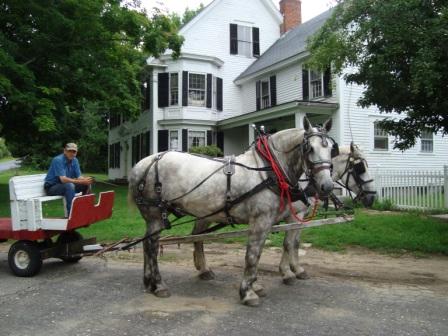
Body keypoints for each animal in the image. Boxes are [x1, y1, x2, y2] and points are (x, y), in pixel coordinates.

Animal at [129, 117, 336, 306]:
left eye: (331, 149)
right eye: (309, 148)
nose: (326, 186)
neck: (268, 169)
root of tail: (142, 165)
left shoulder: (271, 221)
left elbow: (267, 251)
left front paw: (256, 285)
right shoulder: (261, 221)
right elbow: (253, 255)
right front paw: (248, 292)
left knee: (150, 243)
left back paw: (150, 282)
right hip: (155, 214)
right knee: (152, 245)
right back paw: (159, 285)